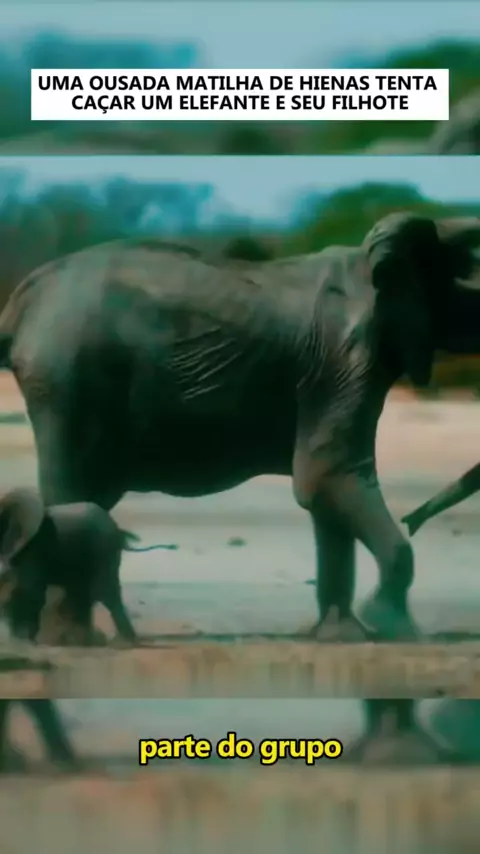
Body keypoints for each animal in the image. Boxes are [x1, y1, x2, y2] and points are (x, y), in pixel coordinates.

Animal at [0, 488, 176, 645]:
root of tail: (118, 529)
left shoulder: (34, 548)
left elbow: (29, 590)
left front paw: (22, 640)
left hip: (103, 549)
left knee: (102, 591)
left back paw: (119, 643)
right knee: (82, 592)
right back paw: (83, 641)